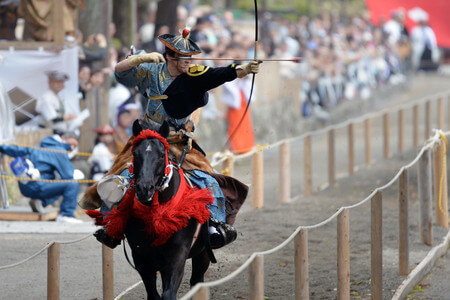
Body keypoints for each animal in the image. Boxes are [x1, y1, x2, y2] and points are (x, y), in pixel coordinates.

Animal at [123, 120, 214, 300]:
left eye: (160, 154)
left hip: (203, 253)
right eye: (135, 154)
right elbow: (154, 294)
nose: (145, 189)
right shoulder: (141, 257)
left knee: (197, 281)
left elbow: (169, 293)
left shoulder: (178, 252)